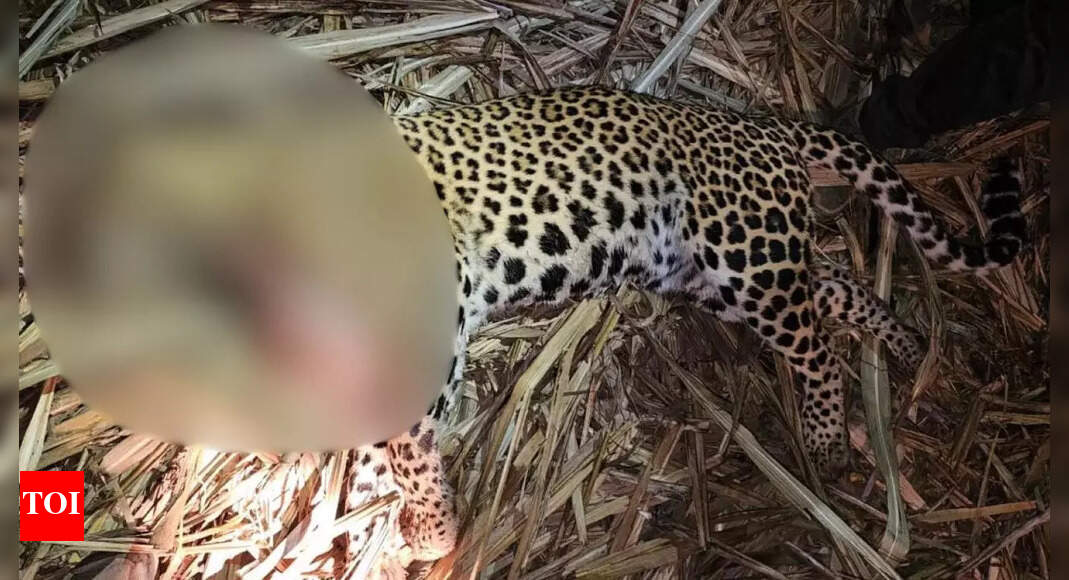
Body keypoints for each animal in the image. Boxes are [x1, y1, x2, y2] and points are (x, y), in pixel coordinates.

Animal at [342, 86, 1025, 571]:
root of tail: (761, 123)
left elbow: (411, 453)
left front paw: (430, 536)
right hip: (716, 279)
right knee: (839, 289)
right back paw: (908, 348)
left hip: (747, 256)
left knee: (820, 349)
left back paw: (827, 441)